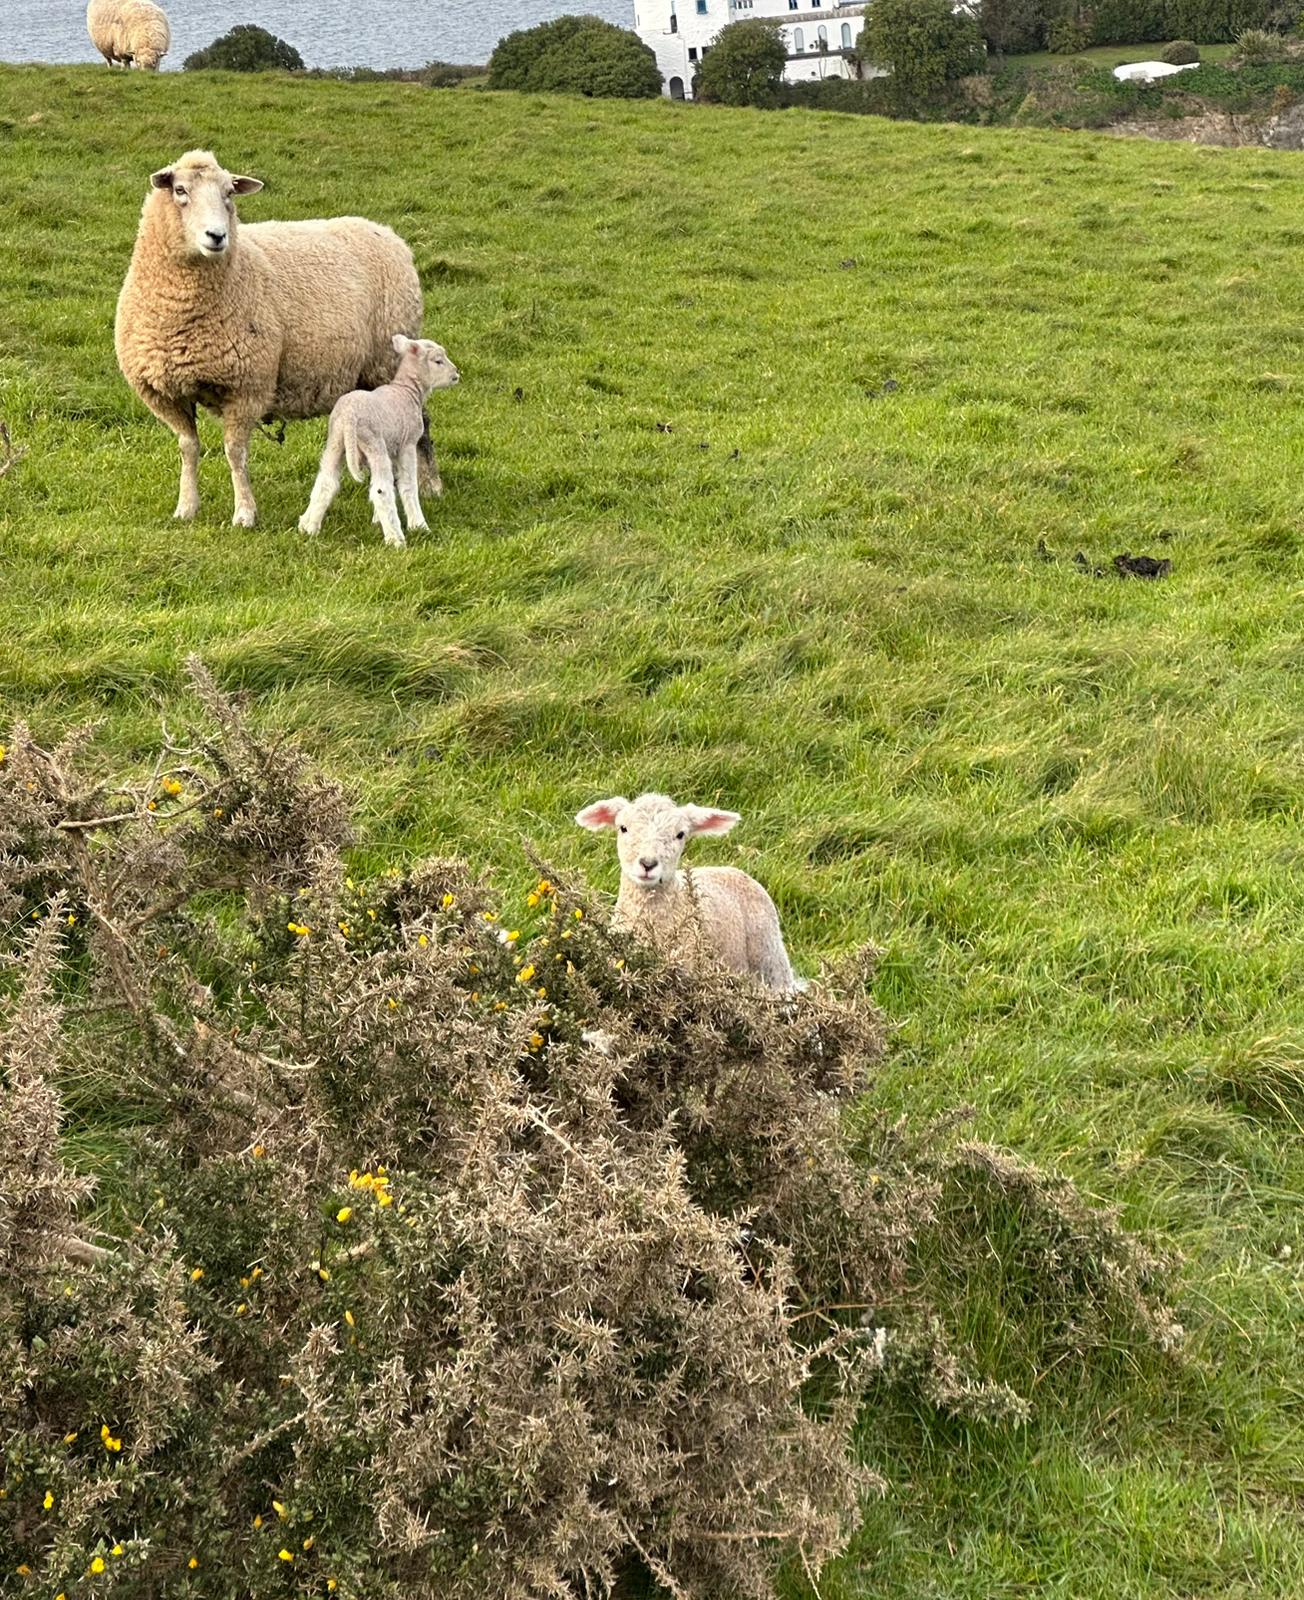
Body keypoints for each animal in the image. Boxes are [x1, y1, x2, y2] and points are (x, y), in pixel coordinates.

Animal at [114, 150, 436, 528]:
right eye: (180, 190)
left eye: (229, 192)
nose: (216, 236)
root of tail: (390, 235)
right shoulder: (163, 393)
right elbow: (188, 447)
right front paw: (186, 507)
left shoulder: (248, 385)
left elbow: (234, 452)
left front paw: (244, 513)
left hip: (387, 362)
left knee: (422, 421)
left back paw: (430, 485)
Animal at [298, 336, 459, 547]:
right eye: (438, 361)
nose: (456, 374)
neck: (407, 390)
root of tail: (349, 417)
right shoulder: (407, 444)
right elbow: (407, 484)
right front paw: (419, 525)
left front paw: (376, 520)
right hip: (374, 443)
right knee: (381, 490)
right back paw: (395, 539)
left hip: (336, 441)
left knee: (326, 481)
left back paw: (309, 528)